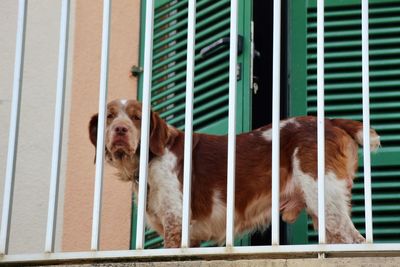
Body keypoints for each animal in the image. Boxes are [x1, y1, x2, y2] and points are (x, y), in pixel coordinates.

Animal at [90, 99, 382, 248]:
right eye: (109, 116)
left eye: (137, 117)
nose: (120, 130)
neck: (151, 158)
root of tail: (330, 121)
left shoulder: (176, 224)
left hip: (325, 198)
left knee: (356, 240)